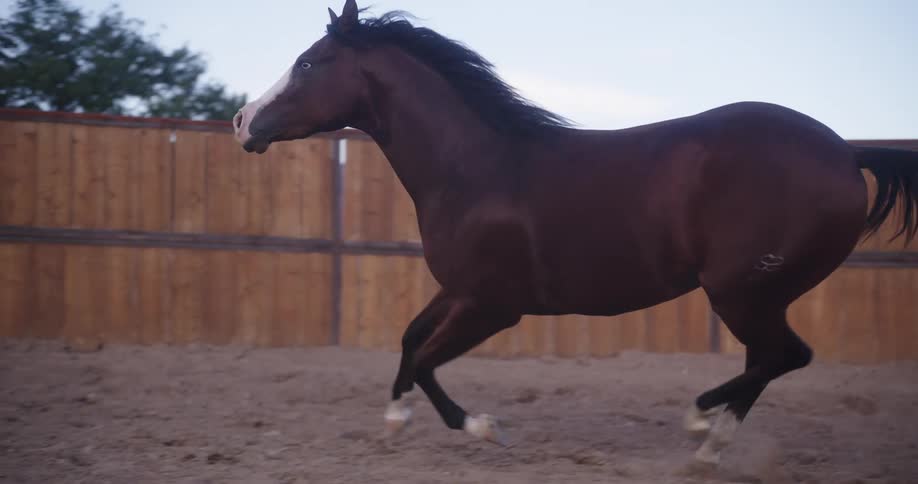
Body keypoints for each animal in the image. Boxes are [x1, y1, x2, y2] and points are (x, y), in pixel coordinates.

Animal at [232, 0, 918, 468]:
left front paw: (482, 427)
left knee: (785, 355)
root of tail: (847, 152)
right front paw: (395, 420)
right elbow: (408, 342)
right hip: (756, 295)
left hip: (741, 290)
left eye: (309, 62)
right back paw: (709, 449)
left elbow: (426, 358)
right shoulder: (461, 291)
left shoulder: (494, 306)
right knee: (768, 359)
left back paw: (699, 425)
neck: (477, 167)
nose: (242, 121)